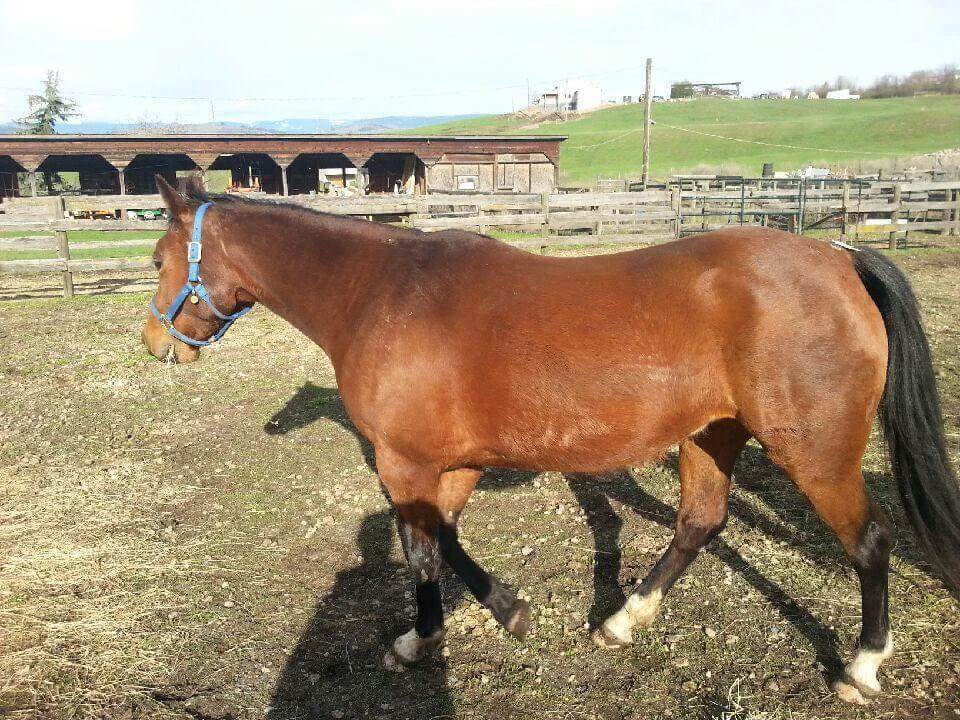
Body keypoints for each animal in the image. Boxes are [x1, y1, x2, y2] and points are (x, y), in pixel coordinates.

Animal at [142, 176, 960, 706]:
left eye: (155, 259)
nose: (154, 343)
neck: (381, 293)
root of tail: (842, 258)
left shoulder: (408, 465)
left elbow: (428, 544)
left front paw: (488, 617)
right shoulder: (451, 464)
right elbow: (434, 544)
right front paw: (442, 631)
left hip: (814, 454)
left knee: (870, 544)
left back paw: (861, 668)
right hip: (711, 435)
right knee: (699, 522)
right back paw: (624, 620)